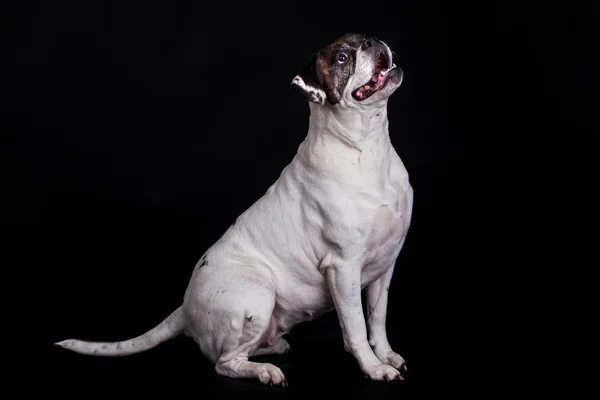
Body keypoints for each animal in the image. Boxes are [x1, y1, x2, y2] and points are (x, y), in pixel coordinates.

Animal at [55, 32, 412, 386]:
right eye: (341, 58)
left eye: (364, 37)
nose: (371, 41)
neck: (367, 146)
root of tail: (185, 306)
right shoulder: (343, 267)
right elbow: (356, 327)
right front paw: (374, 367)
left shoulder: (386, 263)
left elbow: (376, 318)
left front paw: (386, 355)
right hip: (258, 294)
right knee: (224, 362)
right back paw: (265, 371)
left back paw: (274, 348)